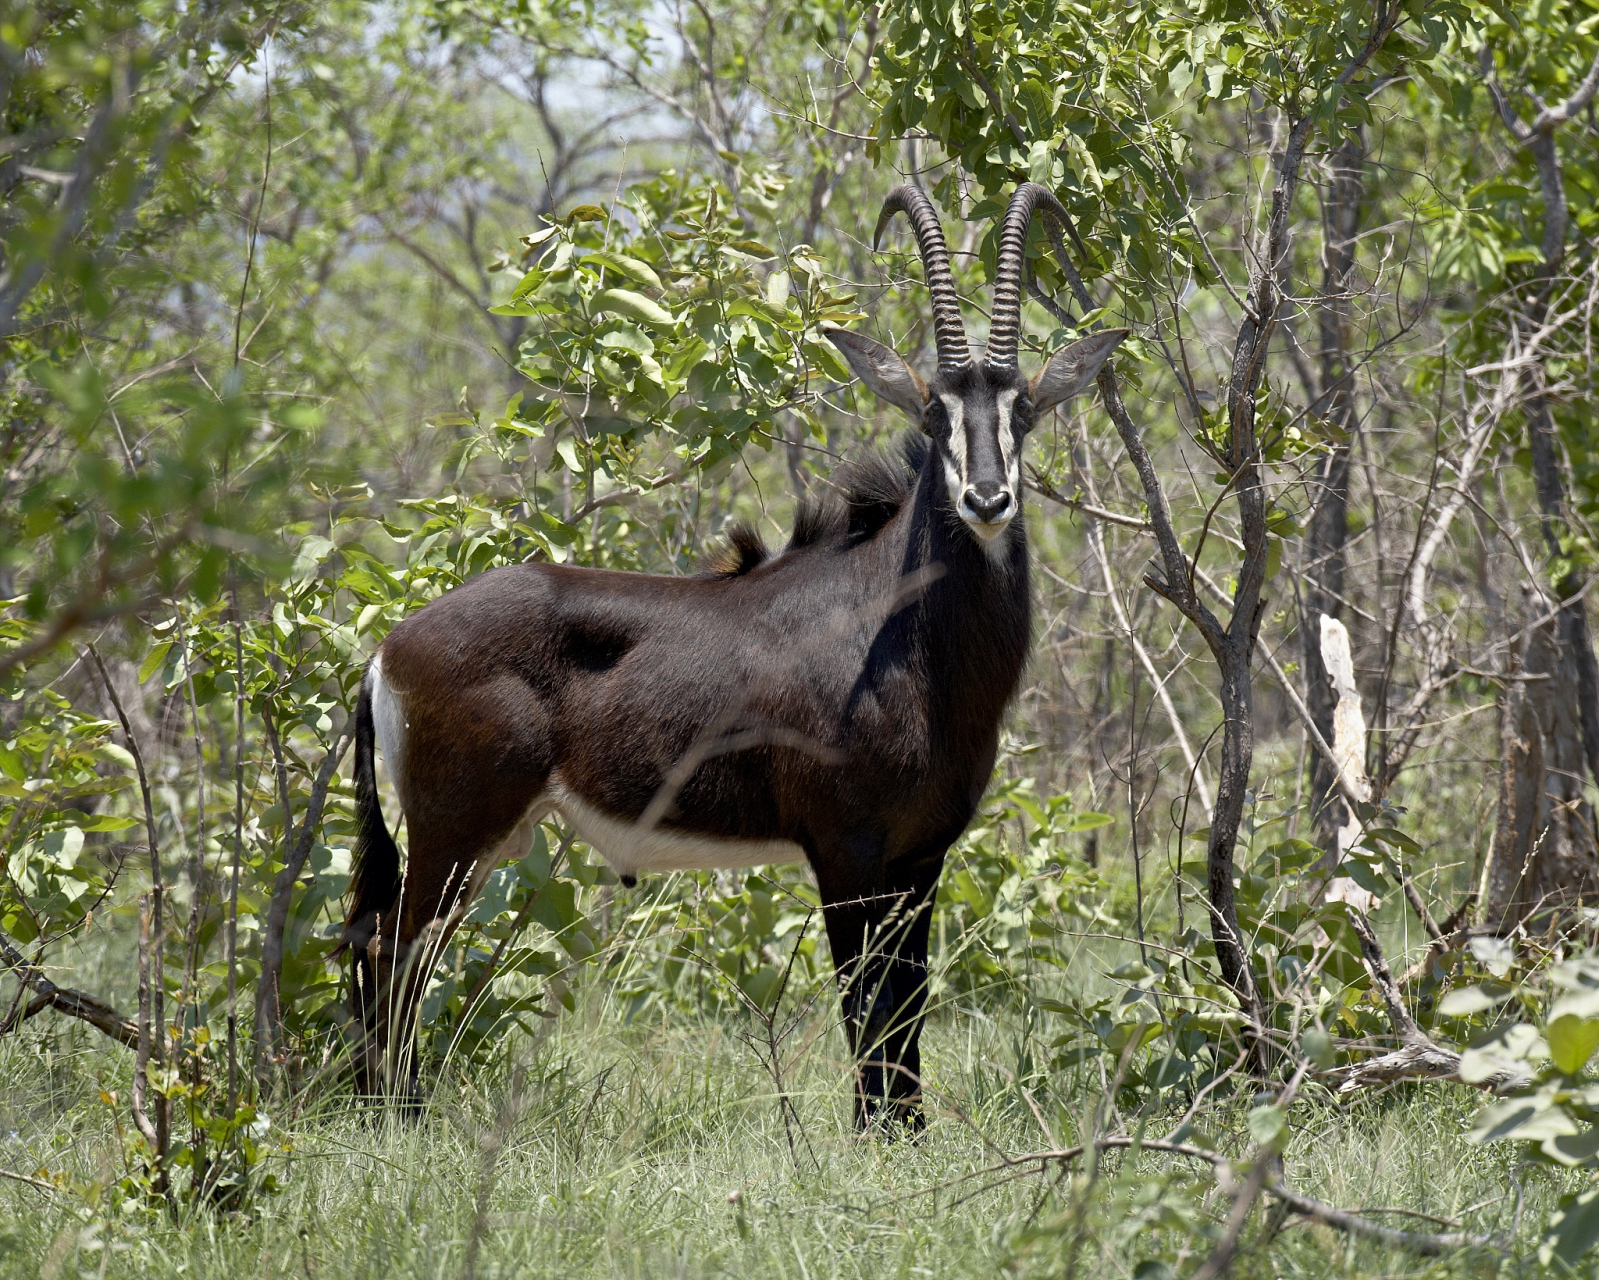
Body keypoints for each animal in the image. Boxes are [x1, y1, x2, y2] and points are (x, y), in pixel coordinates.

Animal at [348, 179, 1125, 1118]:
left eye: (1024, 411)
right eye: (933, 410)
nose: (986, 498)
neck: (899, 636)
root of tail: (388, 648)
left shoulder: (919, 857)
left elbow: (908, 1006)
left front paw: (908, 1131)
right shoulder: (844, 852)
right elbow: (865, 1008)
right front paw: (873, 1136)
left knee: (377, 943)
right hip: (456, 829)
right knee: (397, 950)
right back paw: (401, 1115)